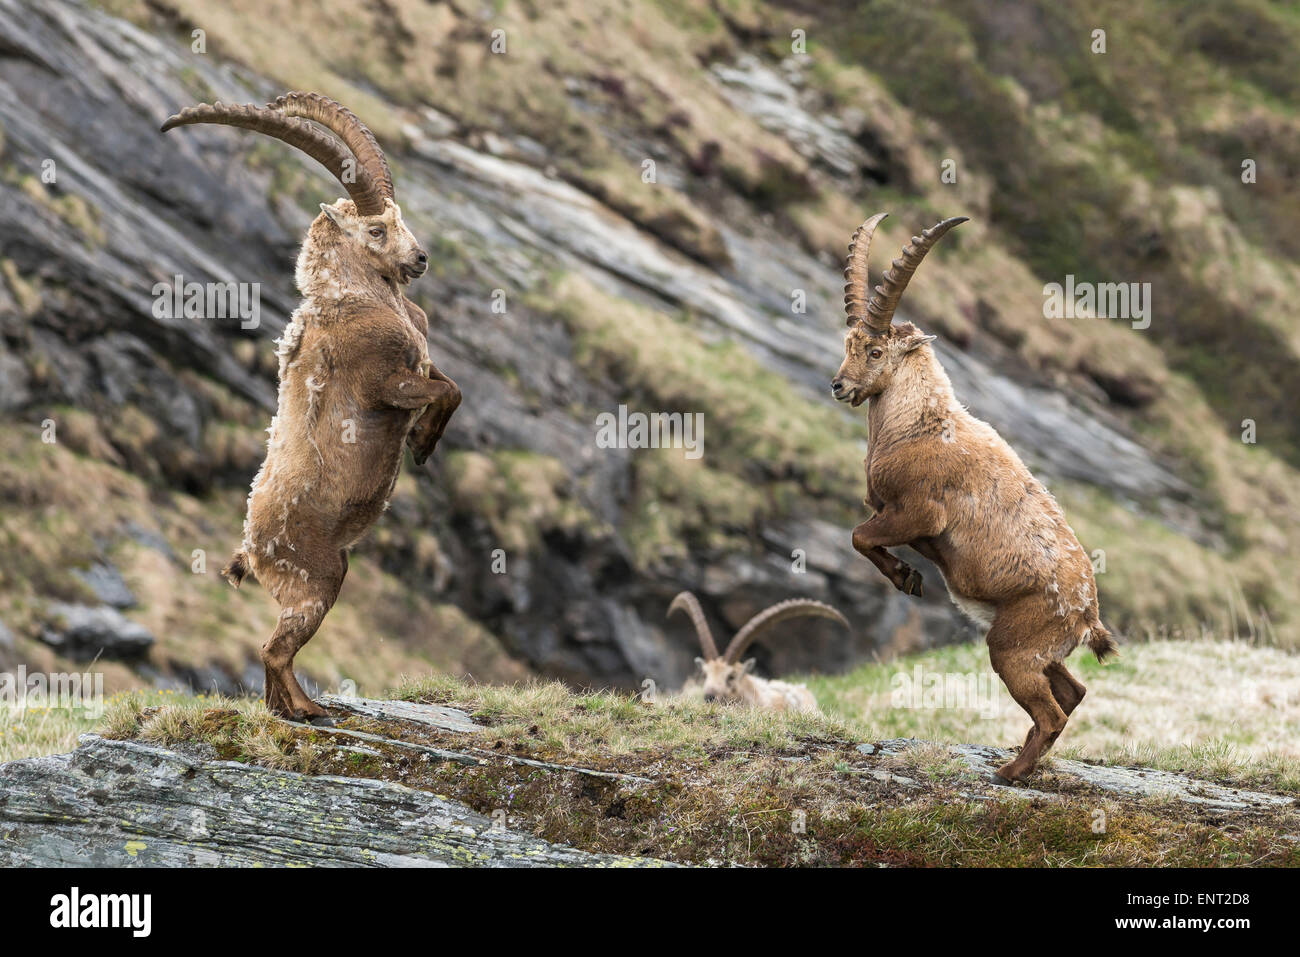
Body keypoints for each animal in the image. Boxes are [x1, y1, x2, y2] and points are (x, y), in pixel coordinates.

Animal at [162, 92, 462, 721]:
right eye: (376, 228)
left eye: (399, 220)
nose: (420, 259)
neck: (359, 299)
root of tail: (251, 552)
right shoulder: (386, 383)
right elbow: (442, 391)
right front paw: (421, 444)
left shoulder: (420, 361)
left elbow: (451, 383)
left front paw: (423, 441)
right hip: (316, 578)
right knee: (274, 649)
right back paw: (308, 710)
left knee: (272, 655)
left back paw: (290, 709)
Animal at [830, 213, 1118, 781]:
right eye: (849, 344)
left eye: (875, 351)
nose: (840, 386)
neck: (918, 424)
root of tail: (1086, 612)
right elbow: (863, 536)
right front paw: (909, 576)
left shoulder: (917, 512)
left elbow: (860, 536)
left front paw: (908, 578)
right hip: (1039, 650)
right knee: (1073, 692)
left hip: (1012, 646)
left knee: (1052, 711)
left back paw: (1009, 773)